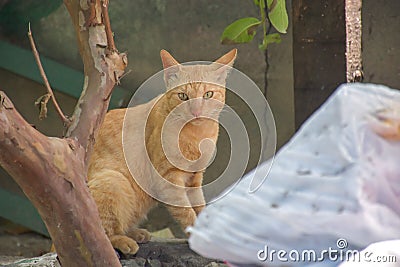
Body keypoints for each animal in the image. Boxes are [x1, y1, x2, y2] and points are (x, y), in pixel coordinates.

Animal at [87, 48, 236, 255]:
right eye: (183, 96)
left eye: (208, 94)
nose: (196, 111)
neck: (197, 135)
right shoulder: (168, 180)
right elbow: (186, 213)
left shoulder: (194, 179)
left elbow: (199, 208)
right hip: (113, 180)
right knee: (100, 233)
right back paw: (123, 241)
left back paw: (136, 233)